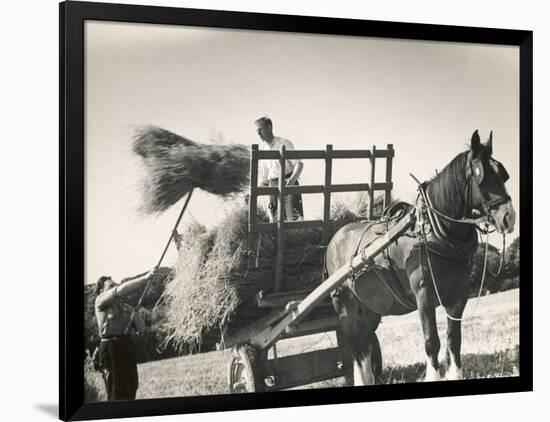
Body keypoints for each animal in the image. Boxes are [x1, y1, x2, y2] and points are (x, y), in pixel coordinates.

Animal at [326, 130, 516, 384]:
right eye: (480, 175)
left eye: (502, 174)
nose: (509, 217)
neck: (434, 231)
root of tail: (335, 238)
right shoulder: (423, 295)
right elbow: (431, 340)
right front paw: (433, 376)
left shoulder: (459, 295)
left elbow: (454, 339)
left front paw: (455, 374)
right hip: (346, 306)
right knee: (355, 346)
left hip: (370, 309)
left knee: (365, 345)